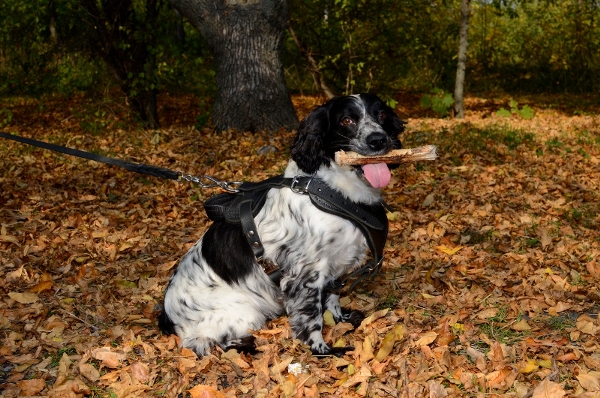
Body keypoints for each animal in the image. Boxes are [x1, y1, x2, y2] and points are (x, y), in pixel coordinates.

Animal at [158, 94, 404, 358]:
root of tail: (167, 315)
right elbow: (311, 317)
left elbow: (332, 298)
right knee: (202, 342)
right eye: (346, 120)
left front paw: (340, 320)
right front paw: (323, 349)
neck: (331, 191)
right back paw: (244, 345)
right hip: (243, 311)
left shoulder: (334, 267)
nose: (377, 140)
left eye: (382, 115)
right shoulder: (306, 274)